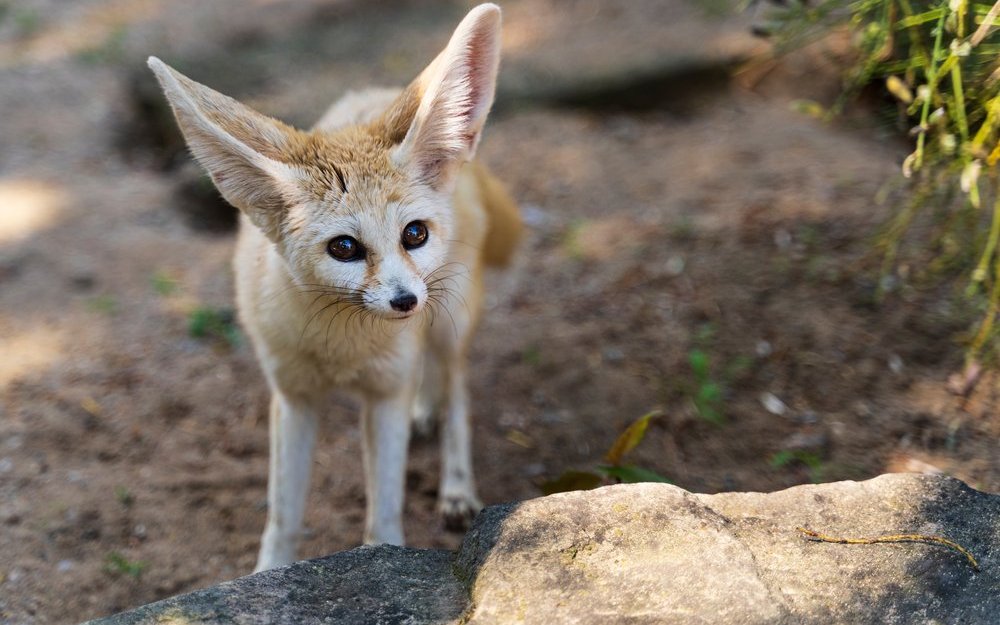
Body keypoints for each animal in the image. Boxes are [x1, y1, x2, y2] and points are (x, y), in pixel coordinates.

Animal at [150, 3, 524, 572]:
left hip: (449, 320)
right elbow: (283, 513)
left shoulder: (386, 392)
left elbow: (384, 515)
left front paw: (384, 561)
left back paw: (457, 485)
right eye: (344, 248)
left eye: (414, 234)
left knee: (457, 389)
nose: (405, 302)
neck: (342, 347)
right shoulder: (293, 397)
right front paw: (268, 574)